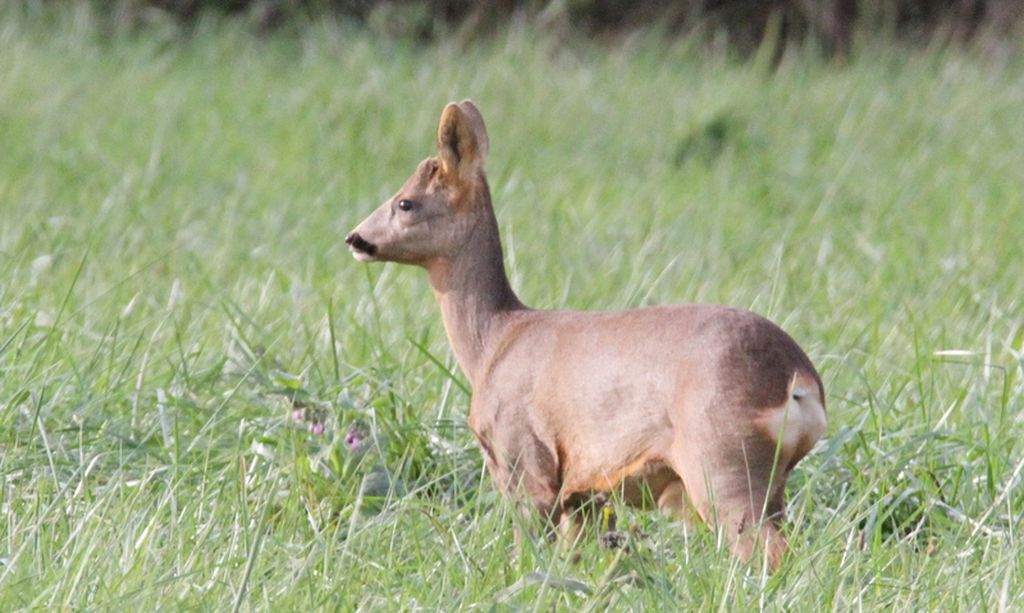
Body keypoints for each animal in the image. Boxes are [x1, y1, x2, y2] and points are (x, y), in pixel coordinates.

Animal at [348, 99, 827, 568]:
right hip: (768, 479)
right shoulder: (583, 492)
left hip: (721, 459)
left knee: (769, 552)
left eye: (405, 203)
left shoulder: (527, 461)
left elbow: (528, 555)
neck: (494, 341)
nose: (355, 238)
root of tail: (798, 379)